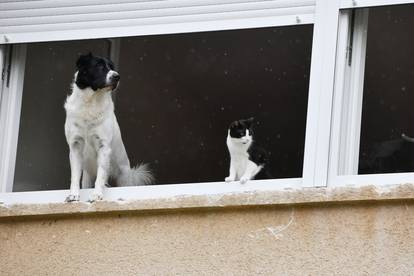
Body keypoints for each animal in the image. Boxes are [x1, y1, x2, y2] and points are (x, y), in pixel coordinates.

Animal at [65, 52, 153, 203]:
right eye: (99, 66)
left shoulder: (104, 146)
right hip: (87, 176)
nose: (117, 76)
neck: (91, 102)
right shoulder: (75, 145)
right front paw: (73, 195)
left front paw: (96, 195)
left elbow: (101, 175)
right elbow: (74, 175)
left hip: (123, 177)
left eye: (112, 67)